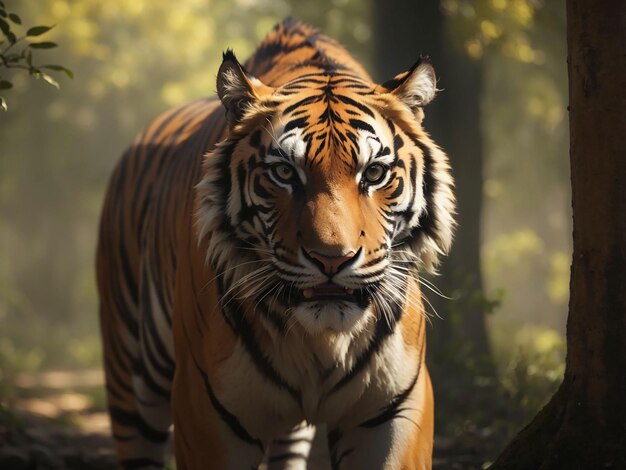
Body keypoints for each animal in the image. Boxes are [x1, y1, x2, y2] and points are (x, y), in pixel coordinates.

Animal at [96, 16, 454, 468]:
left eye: (374, 173)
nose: (332, 260)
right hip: (130, 375)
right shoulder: (206, 412)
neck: (322, 342)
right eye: (284, 173)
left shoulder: (393, 409)